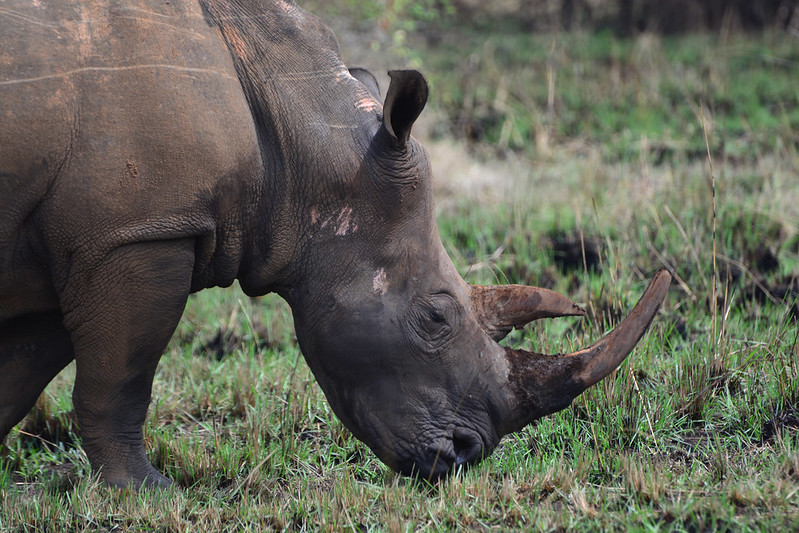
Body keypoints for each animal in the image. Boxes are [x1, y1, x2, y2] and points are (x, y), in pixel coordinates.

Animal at [0, 0, 672, 486]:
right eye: (434, 319)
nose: (464, 455)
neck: (304, 135)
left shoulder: (75, 243)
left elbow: (23, 370)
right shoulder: (138, 233)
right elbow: (121, 378)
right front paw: (146, 493)